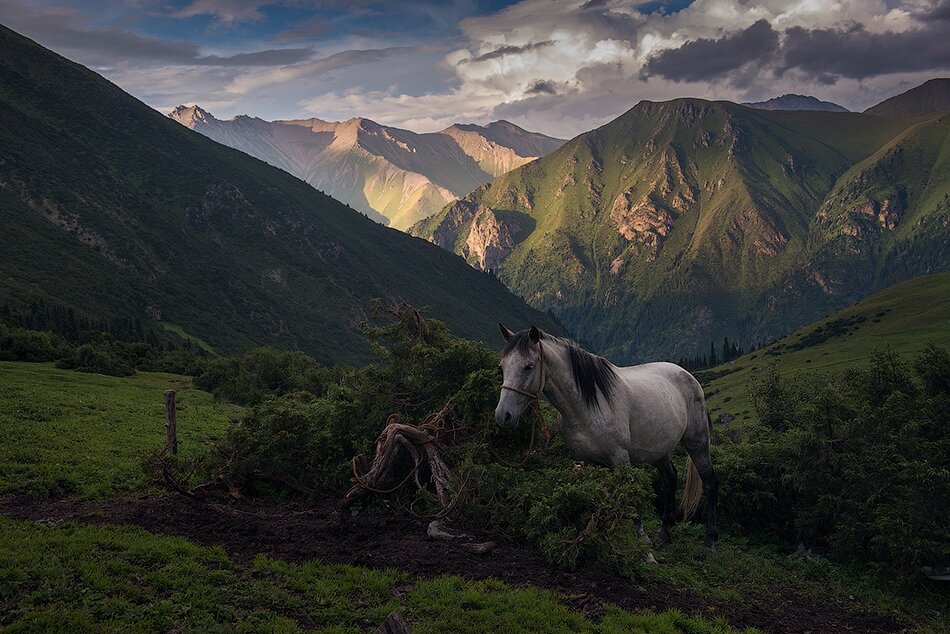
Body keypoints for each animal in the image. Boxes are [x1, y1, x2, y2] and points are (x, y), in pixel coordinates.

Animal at [494, 324, 716, 544]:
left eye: (528, 366)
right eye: (502, 366)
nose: (503, 415)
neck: (586, 406)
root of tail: (688, 376)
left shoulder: (620, 458)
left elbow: (628, 496)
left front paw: (642, 540)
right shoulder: (584, 460)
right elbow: (586, 495)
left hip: (697, 442)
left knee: (709, 481)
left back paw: (710, 540)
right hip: (658, 449)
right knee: (670, 478)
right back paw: (664, 533)